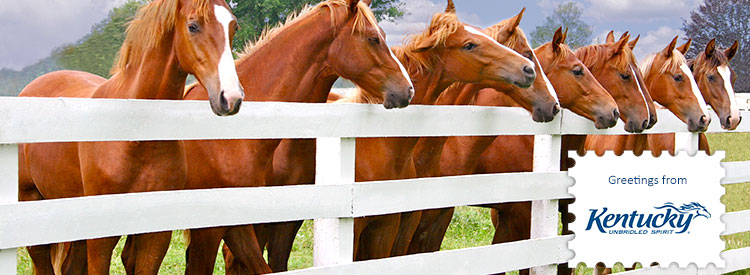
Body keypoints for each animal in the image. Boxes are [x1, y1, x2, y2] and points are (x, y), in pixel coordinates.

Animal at [16, 0, 244, 275]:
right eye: (193, 26)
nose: (231, 98)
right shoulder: (102, 235)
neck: (135, 138)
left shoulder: (155, 233)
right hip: (32, 204)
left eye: (233, 26)